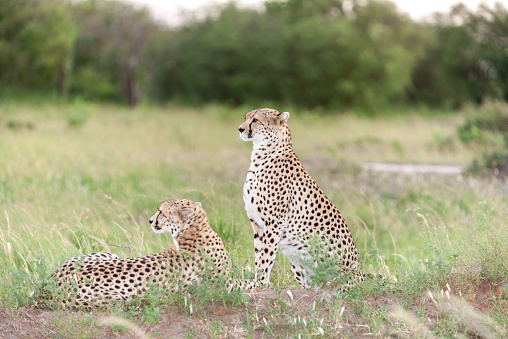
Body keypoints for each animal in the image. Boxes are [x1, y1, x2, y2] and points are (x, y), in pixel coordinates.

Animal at [41, 199, 244, 308]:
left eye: (161, 212)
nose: (150, 220)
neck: (194, 230)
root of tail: (53, 280)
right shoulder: (226, 287)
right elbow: (247, 282)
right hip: (117, 296)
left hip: (109, 257)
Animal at [239, 108, 366, 290]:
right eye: (246, 118)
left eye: (255, 120)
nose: (240, 129)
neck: (261, 156)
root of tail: (362, 276)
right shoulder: (257, 224)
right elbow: (259, 256)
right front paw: (256, 282)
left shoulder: (274, 222)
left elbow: (266, 256)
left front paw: (260, 283)